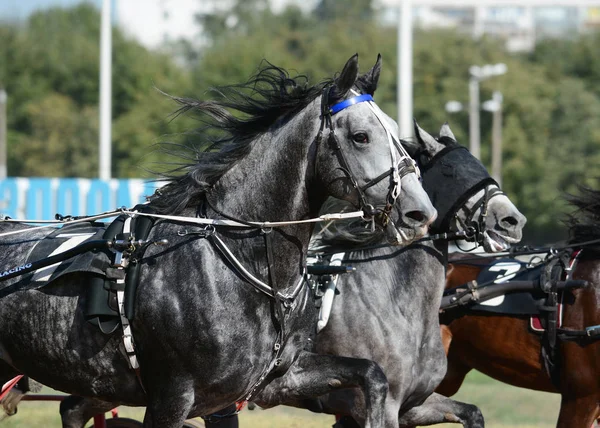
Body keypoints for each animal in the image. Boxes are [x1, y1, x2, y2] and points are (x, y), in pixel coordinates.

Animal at [0, 54, 434, 428]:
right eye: (361, 136)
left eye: (396, 132)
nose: (419, 212)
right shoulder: (172, 399)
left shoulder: (274, 379)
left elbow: (372, 375)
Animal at [246, 122, 524, 426]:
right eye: (450, 169)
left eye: (478, 163)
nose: (512, 221)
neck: (393, 300)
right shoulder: (374, 405)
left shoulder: (414, 405)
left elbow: (472, 412)